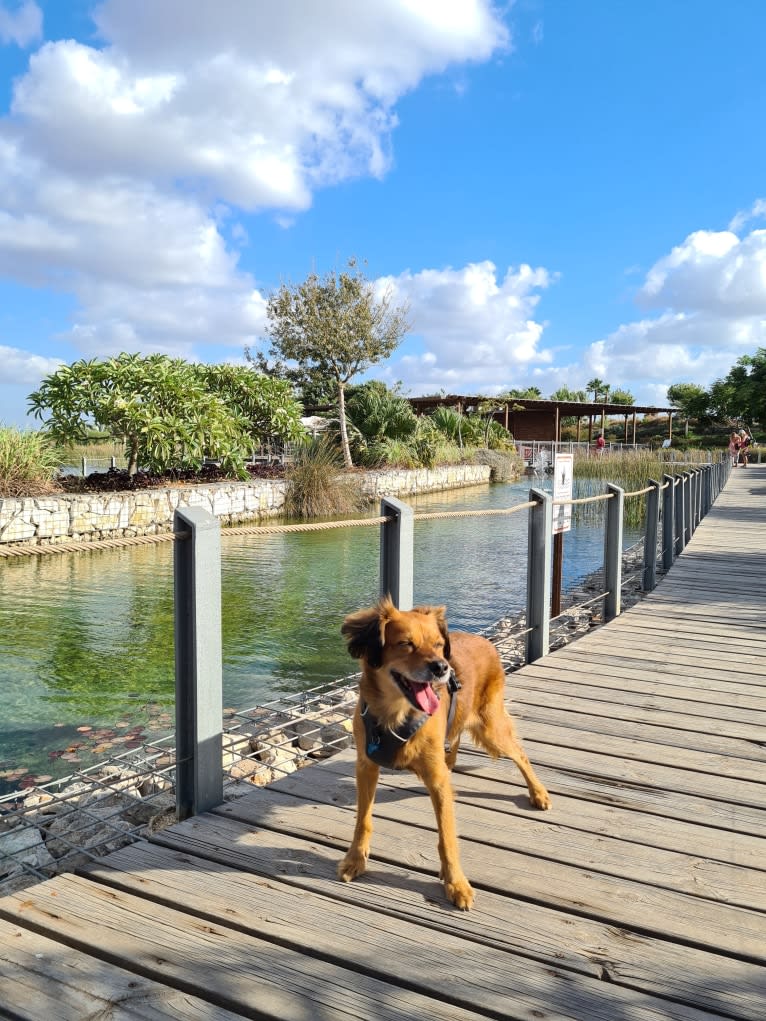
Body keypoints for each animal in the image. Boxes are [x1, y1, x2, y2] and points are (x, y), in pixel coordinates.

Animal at [337, 596, 551, 910]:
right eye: (406, 644)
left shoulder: (436, 780)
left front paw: (456, 883)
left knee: (521, 754)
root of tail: (484, 641)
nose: (441, 667)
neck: (395, 713)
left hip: (492, 730)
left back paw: (538, 793)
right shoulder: (366, 767)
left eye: (438, 644)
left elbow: (447, 837)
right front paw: (355, 859)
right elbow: (362, 821)